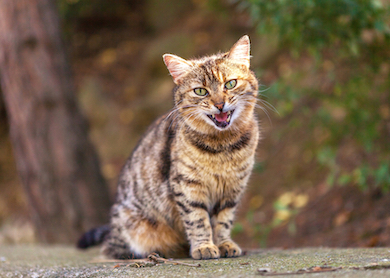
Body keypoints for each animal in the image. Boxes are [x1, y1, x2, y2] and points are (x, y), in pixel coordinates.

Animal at [77, 35, 258, 260]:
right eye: (200, 91)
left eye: (230, 84)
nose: (219, 104)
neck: (223, 146)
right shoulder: (187, 186)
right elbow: (198, 220)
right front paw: (204, 247)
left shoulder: (232, 189)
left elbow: (223, 220)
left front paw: (225, 244)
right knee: (113, 249)